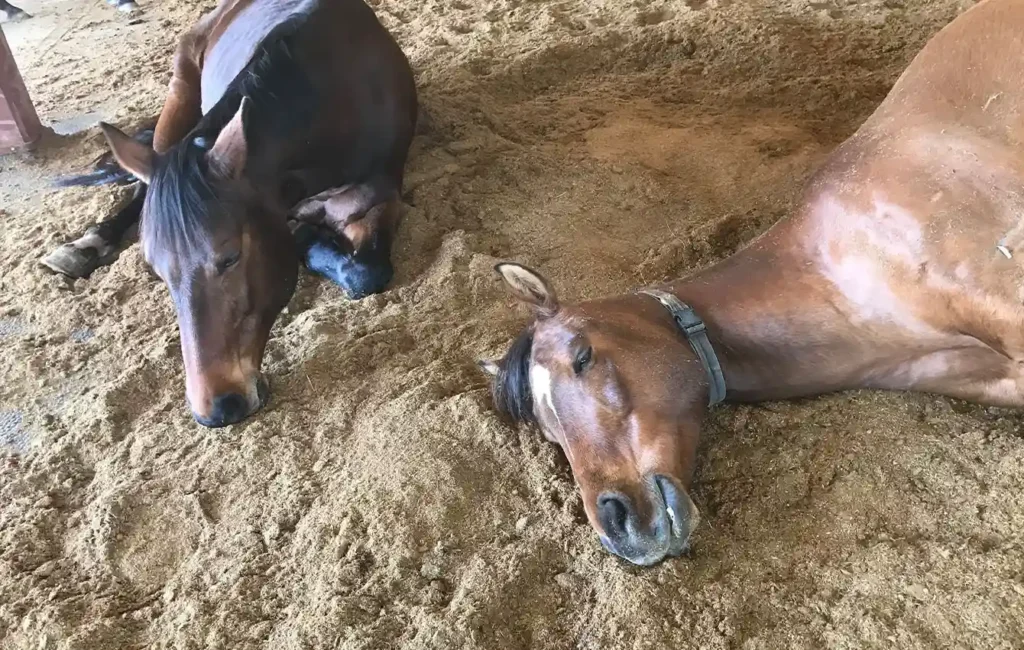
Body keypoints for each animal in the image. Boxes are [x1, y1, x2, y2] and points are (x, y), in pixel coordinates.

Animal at [42, 0, 417, 427]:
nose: (217, 408)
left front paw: (306, 238)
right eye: (156, 271)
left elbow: (367, 272)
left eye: (231, 257)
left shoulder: (374, 197)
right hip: (179, 94)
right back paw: (87, 243)